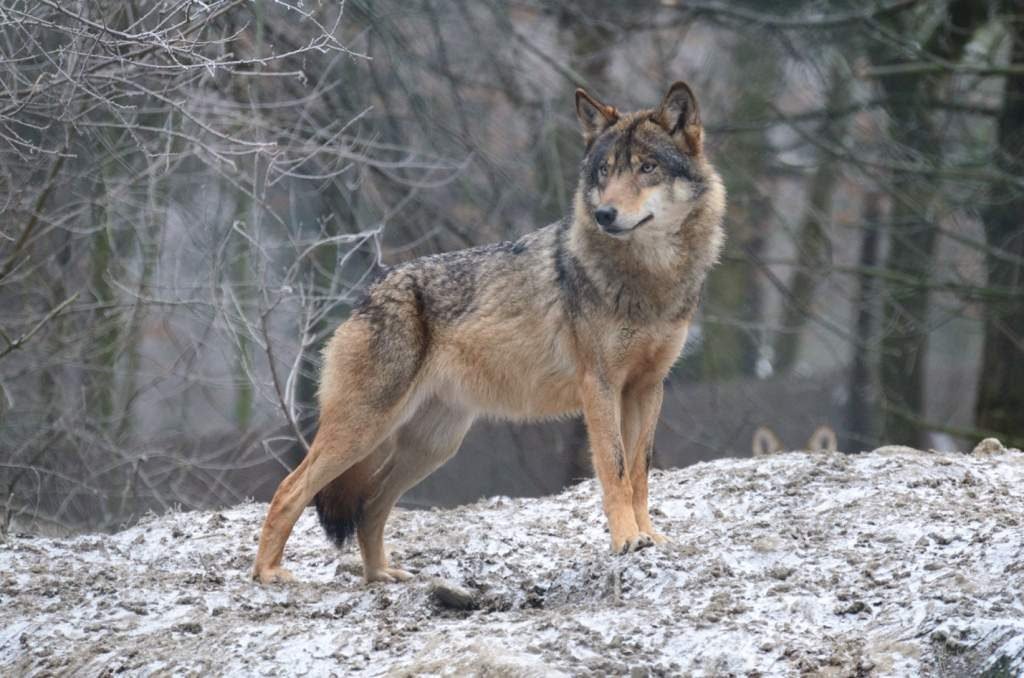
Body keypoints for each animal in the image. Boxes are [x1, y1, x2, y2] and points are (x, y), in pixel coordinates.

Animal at [250, 82, 724, 585]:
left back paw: (382, 575)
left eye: (647, 168)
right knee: (289, 488)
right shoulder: (600, 387)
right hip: (363, 431)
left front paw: (650, 537)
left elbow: (639, 473)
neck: (648, 278)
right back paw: (268, 573)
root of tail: (369, 292)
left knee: (370, 506)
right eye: (605, 171)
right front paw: (627, 542)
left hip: (432, 446)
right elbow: (614, 471)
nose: (604, 214)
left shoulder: (647, 388)